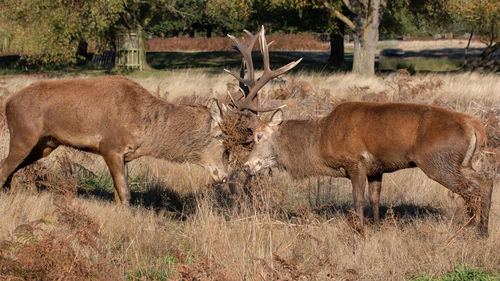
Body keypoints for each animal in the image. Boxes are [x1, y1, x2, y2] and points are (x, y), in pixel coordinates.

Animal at [0, 75, 229, 203]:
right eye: (220, 137)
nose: (225, 176)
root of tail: (8, 102)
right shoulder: (110, 147)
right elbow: (125, 193)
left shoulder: (123, 155)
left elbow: (118, 194)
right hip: (23, 136)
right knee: (4, 168)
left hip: (45, 144)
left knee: (8, 168)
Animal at [242, 103, 492, 234]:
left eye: (258, 136)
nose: (246, 166)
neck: (321, 141)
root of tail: (474, 126)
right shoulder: (376, 170)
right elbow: (375, 199)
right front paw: (378, 228)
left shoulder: (355, 161)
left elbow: (358, 199)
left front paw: (360, 231)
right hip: (462, 162)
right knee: (484, 182)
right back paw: (478, 227)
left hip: (438, 161)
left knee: (474, 188)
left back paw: (479, 230)